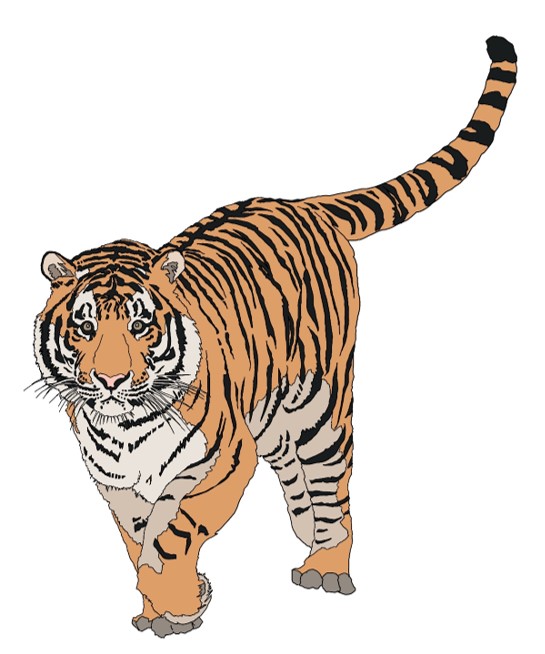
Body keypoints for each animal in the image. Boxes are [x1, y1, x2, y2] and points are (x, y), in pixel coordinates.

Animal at [33, 36, 516, 637]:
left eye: (141, 326)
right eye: (85, 326)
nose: (110, 379)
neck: (125, 429)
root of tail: (304, 202)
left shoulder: (223, 460)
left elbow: (171, 537)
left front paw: (174, 601)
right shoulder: (117, 486)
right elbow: (138, 541)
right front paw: (165, 607)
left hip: (321, 409)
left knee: (333, 487)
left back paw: (327, 566)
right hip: (272, 419)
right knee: (299, 481)